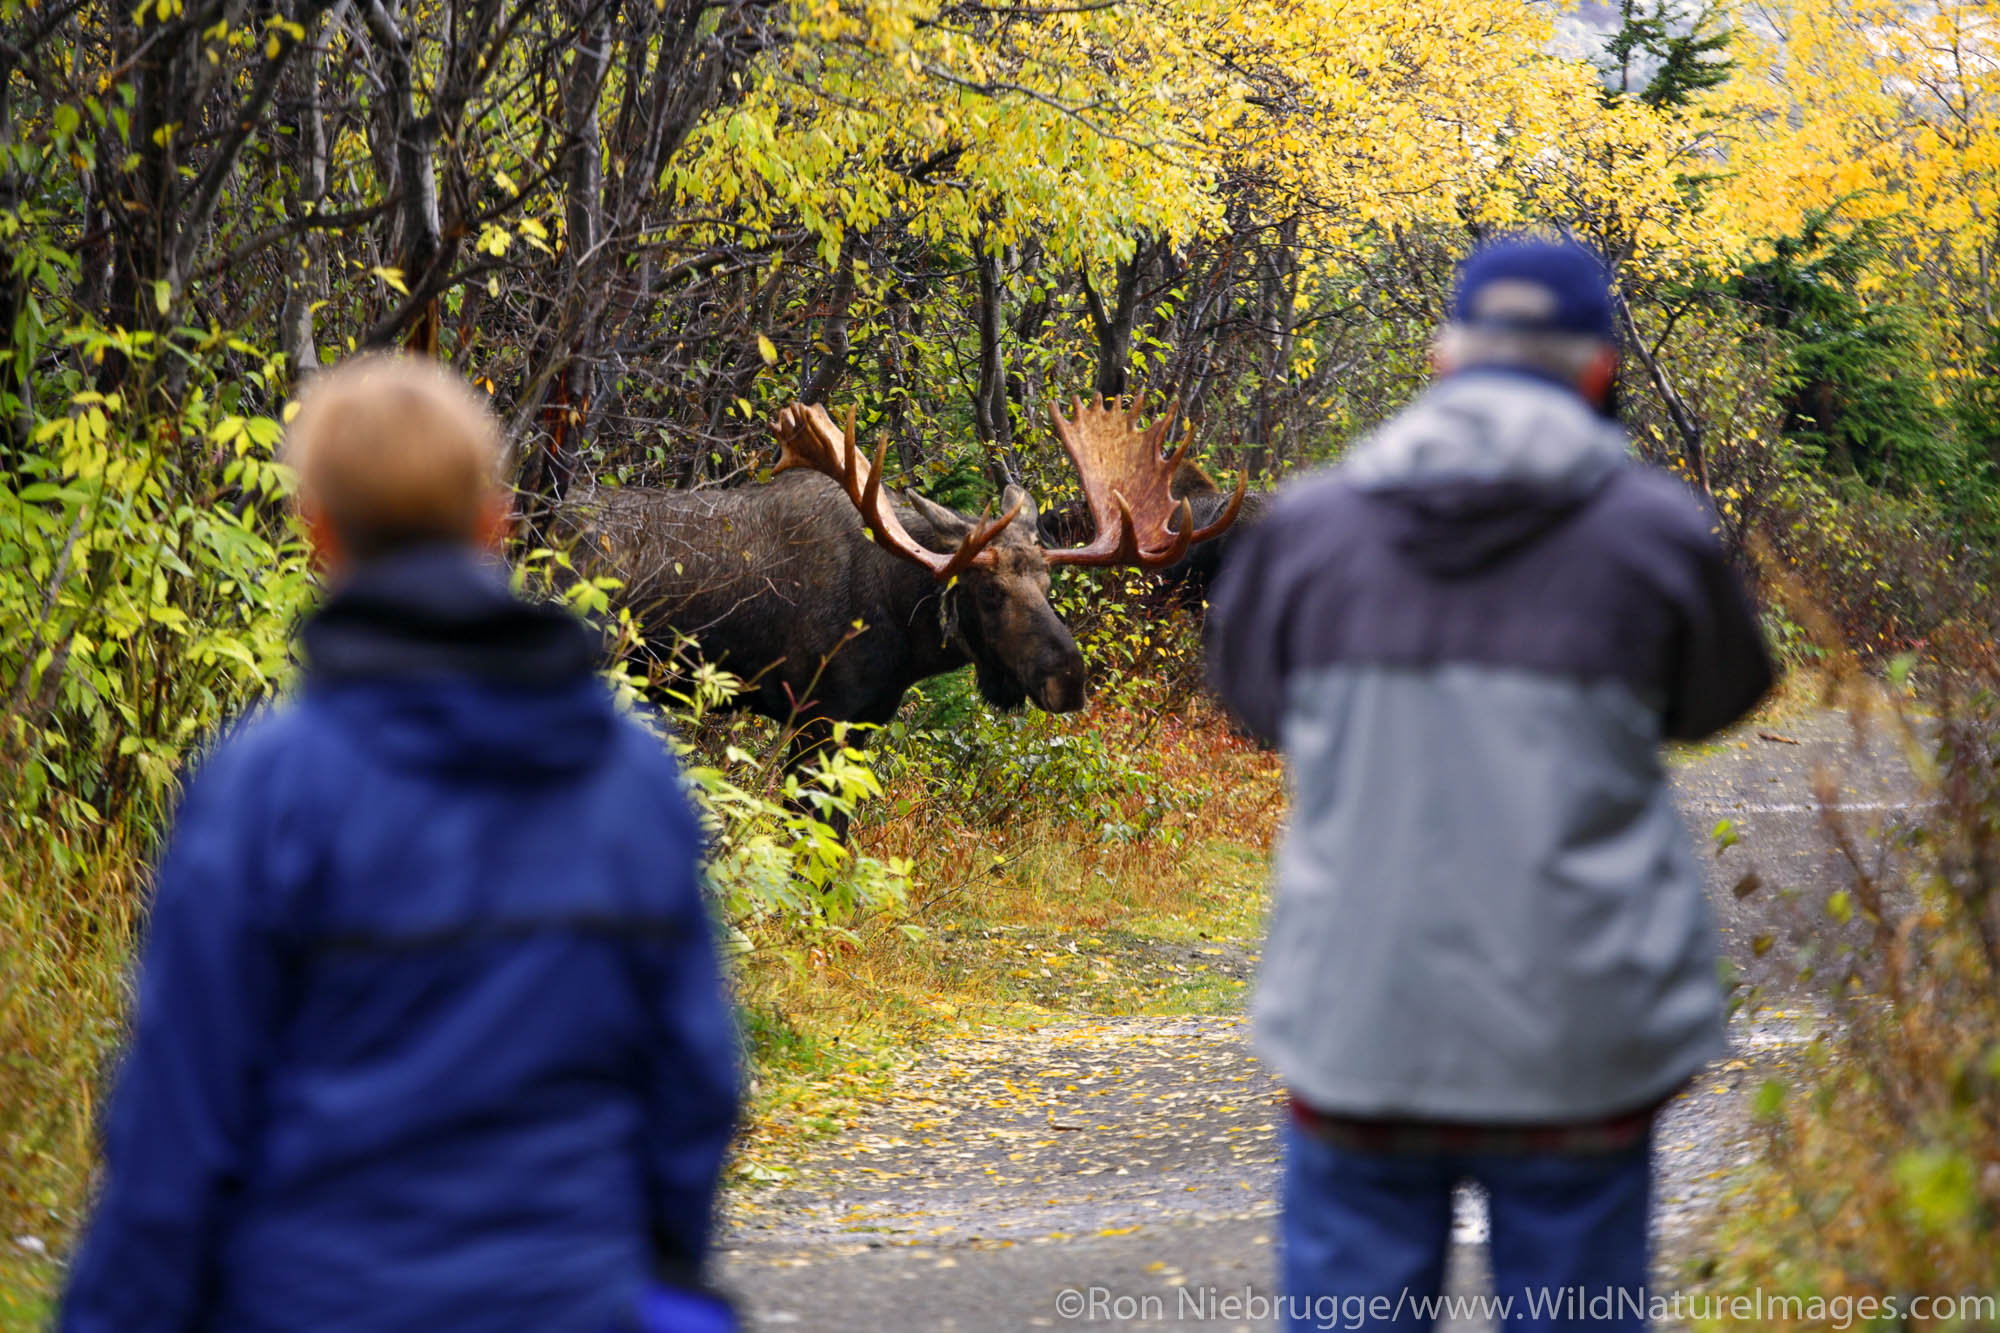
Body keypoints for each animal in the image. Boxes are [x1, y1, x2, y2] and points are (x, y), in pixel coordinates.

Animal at [572, 392, 1240, 768]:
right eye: (989, 593)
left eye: (1048, 589)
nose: (1069, 680)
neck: (904, 638)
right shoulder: (819, 717)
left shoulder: (864, 720)